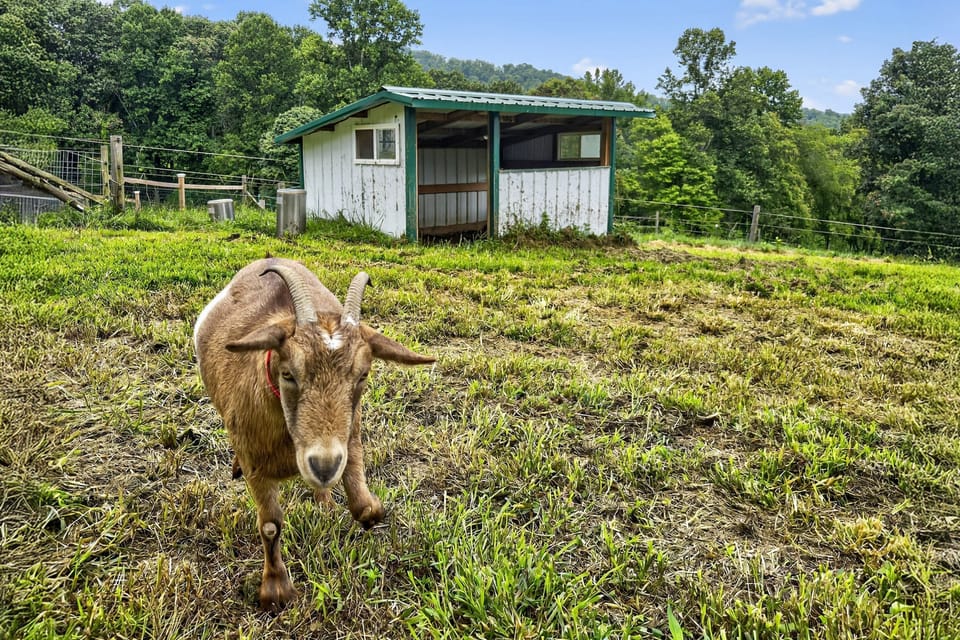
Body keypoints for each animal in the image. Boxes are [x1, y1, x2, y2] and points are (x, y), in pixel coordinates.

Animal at [193, 257, 434, 610]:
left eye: (363, 375)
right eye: (288, 374)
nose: (324, 465)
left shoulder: (350, 435)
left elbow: (366, 506)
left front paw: (363, 512)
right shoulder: (254, 460)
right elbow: (270, 526)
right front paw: (276, 589)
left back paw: (325, 504)